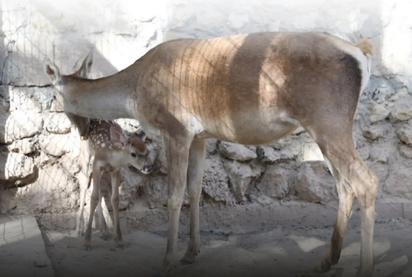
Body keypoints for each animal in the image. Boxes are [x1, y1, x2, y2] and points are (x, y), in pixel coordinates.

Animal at [46, 31, 378, 274]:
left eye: (53, 93)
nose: (85, 129)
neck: (134, 93)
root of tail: (361, 54)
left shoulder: (176, 128)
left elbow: (174, 195)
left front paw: (167, 258)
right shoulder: (200, 136)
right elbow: (195, 190)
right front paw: (191, 253)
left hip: (328, 118)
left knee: (366, 181)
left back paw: (363, 268)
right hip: (327, 128)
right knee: (344, 185)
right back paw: (327, 259)